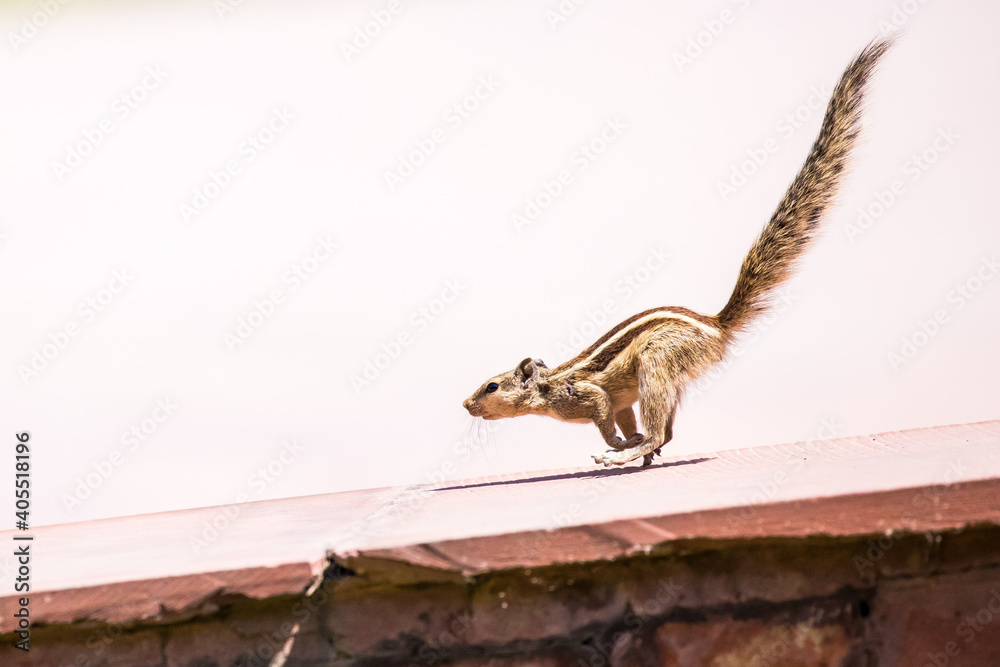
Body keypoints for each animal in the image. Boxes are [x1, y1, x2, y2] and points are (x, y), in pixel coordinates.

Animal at [463, 38, 893, 468]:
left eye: (491, 385)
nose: (465, 404)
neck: (549, 384)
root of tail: (715, 324)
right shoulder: (620, 401)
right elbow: (623, 414)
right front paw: (629, 439)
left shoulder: (587, 396)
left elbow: (603, 413)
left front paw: (618, 443)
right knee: (667, 432)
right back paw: (643, 452)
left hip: (656, 363)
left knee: (659, 429)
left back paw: (623, 454)